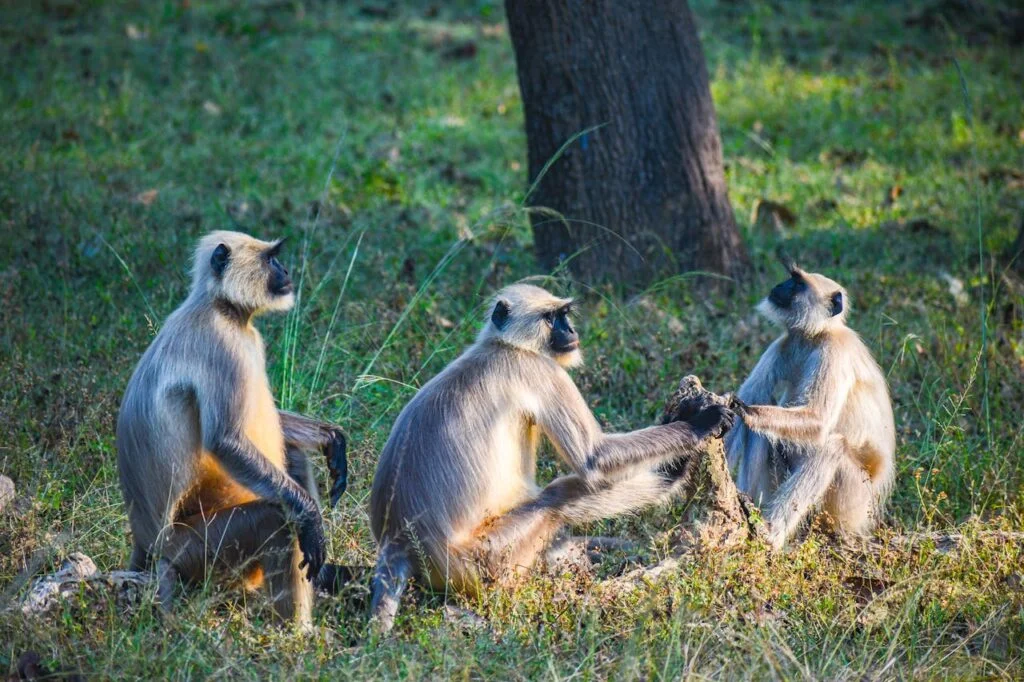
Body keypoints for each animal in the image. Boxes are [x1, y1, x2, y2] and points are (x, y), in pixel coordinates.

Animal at [116, 229, 348, 626]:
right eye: (271, 258)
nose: (286, 270)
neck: (221, 307)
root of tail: (147, 546)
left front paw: (332, 439)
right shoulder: (221, 345)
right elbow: (225, 441)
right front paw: (311, 520)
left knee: (292, 459)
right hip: (194, 549)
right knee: (277, 520)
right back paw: (298, 633)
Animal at [364, 282, 733, 630]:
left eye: (565, 314)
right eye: (551, 318)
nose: (569, 330)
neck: (504, 346)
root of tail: (398, 543)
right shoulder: (539, 371)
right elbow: (595, 458)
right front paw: (698, 424)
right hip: (480, 560)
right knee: (556, 499)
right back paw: (673, 473)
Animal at [720, 264, 897, 548]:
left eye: (798, 284)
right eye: (791, 279)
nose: (779, 286)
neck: (815, 336)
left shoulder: (835, 352)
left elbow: (819, 423)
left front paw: (744, 409)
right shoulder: (785, 344)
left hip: (852, 500)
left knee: (831, 447)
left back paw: (770, 536)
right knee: (763, 432)